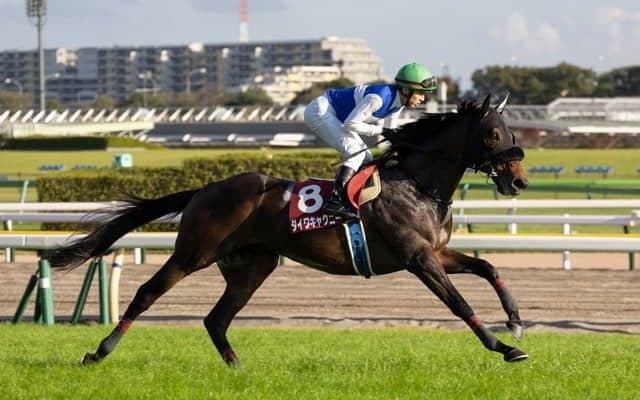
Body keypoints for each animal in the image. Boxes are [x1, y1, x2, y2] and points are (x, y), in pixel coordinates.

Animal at [49, 93, 529, 367]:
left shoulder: (437, 252)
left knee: (216, 318)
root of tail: (206, 188)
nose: (519, 180)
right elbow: (458, 302)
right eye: (492, 134)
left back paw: (238, 368)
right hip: (194, 252)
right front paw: (504, 347)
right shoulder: (418, 258)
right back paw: (98, 352)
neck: (416, 183)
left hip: (251, 266)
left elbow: (488, 268)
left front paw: (516, 322)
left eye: (510, 132)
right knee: (148, 293)